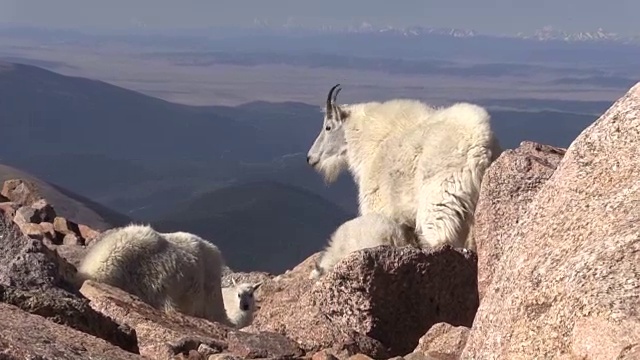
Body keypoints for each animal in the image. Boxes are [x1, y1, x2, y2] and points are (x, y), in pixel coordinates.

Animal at [308, 85, 502, 250]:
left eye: (328, 127)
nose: (310, 158)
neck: (371, 143)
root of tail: (481, 145)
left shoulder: (379, 207)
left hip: (441, 197)